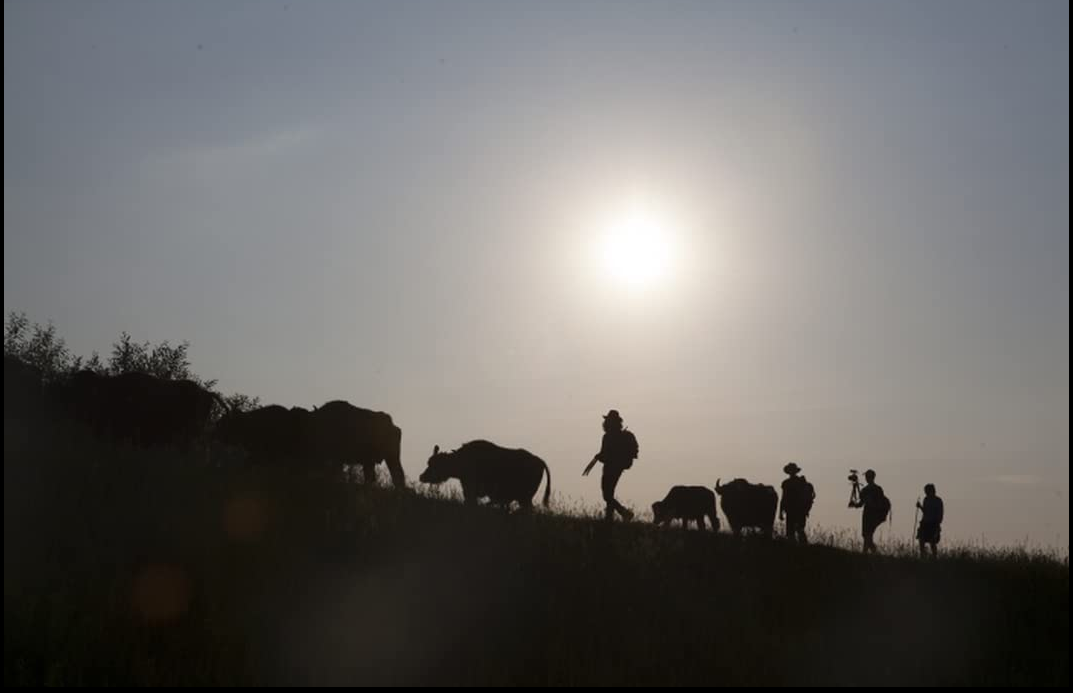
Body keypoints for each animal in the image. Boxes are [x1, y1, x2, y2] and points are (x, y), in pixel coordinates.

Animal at [419, 440, 551, 509]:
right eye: (429, 462)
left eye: (435, 464)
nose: (422, 476)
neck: (461, 459)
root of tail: (539, 460)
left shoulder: (470, 491)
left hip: (525, 498)